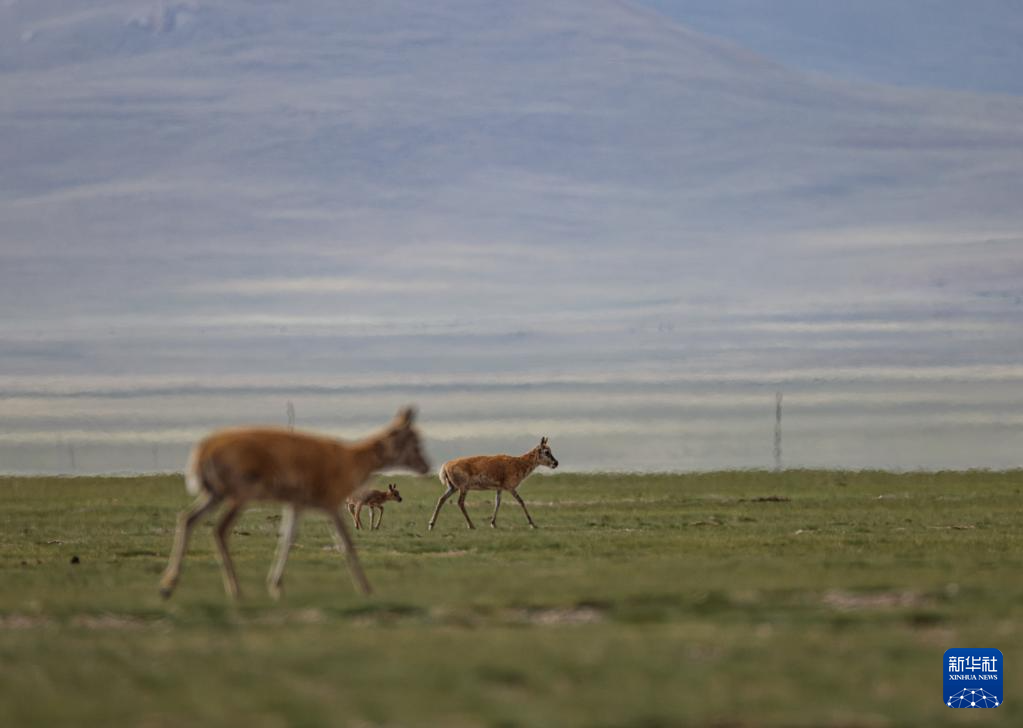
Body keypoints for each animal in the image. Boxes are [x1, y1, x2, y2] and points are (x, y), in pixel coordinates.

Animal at [158, 406, 427, 601]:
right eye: (414, 439)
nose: (426, 465)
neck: (349, 459)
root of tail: (204, 450)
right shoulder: (330, 506)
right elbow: (346, 543)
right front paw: (367, 588)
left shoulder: (296, 506)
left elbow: (287, 538)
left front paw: (276, 585)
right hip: (238, 497)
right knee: (220, 529)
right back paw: (235, 590)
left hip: (215, 496)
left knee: (187, 519)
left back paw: (168, 586)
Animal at [429, 435, 564, 531]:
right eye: (546, 451)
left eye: (550, 450)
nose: (556, 463)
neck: (518, 463)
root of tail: (446, 465)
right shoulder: (510, 488)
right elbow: (521, 501)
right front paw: (533, 524)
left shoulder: (499, 489)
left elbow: (497, 502)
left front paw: (493, 523)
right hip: (463, 488)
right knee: (460, 502)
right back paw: (471, 525)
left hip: (453, 488)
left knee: (441, 499)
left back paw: (431, 524)